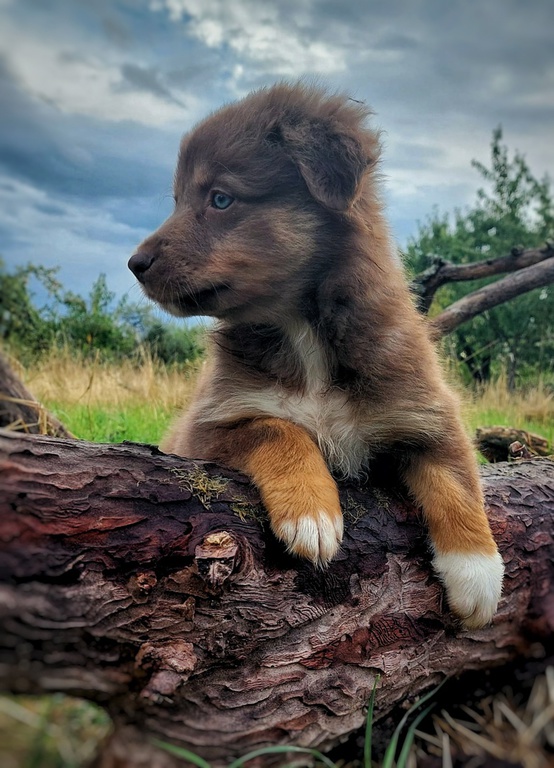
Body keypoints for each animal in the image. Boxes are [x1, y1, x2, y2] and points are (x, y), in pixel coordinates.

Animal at [128, 82, 504, 629]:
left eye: (220, 199)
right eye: (177, 201)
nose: (134, 264)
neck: (301, 331)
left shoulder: (422, 405)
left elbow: (456, 476)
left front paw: (478, 573)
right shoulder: (208, 427)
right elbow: (276, 426)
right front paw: (312, 513)